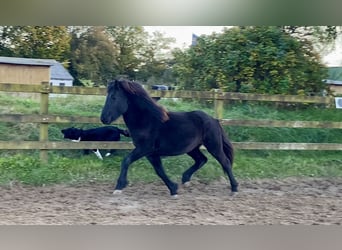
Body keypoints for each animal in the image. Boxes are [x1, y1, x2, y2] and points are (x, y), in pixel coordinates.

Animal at [99, 79, 238, 196]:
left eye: (113, 97)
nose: (103, 118)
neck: (146, 121)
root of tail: (214, 120)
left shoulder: (144, 149)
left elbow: (126, 161)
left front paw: (119, 187)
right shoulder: (151, 154)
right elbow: (159, 171)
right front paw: (173, 189)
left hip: (213, 146)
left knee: (225, 162)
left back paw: (234, 188)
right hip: (192, 149)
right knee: (202, 160)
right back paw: (186, 179)